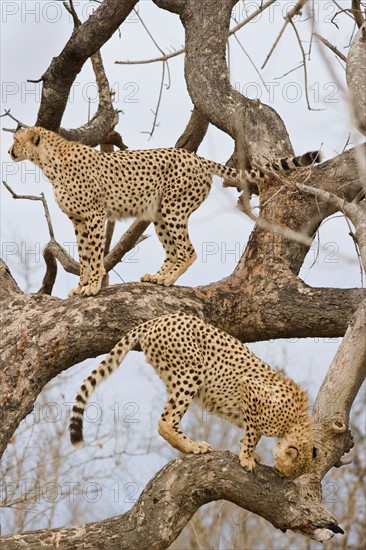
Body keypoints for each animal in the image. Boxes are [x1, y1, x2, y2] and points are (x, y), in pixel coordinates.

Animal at [8, 126, 320, 298]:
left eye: (17, 140)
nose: (10, 152)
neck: (48, 161)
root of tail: (194, 156)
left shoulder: (94, 216)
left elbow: (93, 255)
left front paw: (92, 286)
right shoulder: (79, 220)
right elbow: (84, 254)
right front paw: (83, 284)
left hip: (173, 209)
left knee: (188, 251)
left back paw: (169, 279)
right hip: (159, 215)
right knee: (173, 251)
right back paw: (158, 278)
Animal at [70, 314, 316, 478]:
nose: (281, 475)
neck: (296, 421)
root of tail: (160, 318)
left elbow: (251, 433)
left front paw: (250, 453)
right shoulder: (251, 389)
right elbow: (253, 432)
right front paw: (247, 457)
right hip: (192, 373)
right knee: (166, 421)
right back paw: (193, 446)